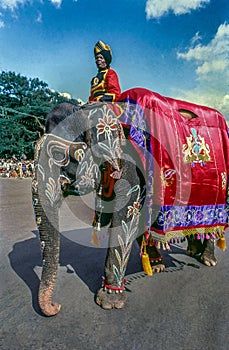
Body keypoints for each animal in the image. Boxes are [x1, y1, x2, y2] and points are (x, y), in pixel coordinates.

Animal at [31, 88, 228, 318]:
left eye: (58, 155)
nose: (56, 307)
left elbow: (124, 218)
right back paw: (192, 251)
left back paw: (207, 259)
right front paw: (156, 266)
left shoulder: (132, 168)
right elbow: (137, 219)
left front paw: (109, 302)